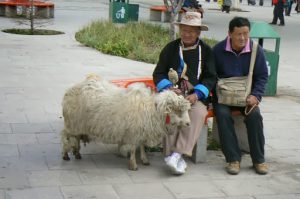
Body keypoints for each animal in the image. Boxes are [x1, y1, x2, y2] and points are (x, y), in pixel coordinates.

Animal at [61, 75, 191, 170]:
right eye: (178, 110)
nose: (188, 124)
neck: (152, 110)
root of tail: (71, 89)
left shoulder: (142, 131)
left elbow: (142, 146)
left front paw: (144, 160)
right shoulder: (133, 133)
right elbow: (133, 149)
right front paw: (133, 165)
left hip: (78, 124)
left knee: (76, 137)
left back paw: (77, 153)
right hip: (71, 123)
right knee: (65, 136)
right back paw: (65, 155)